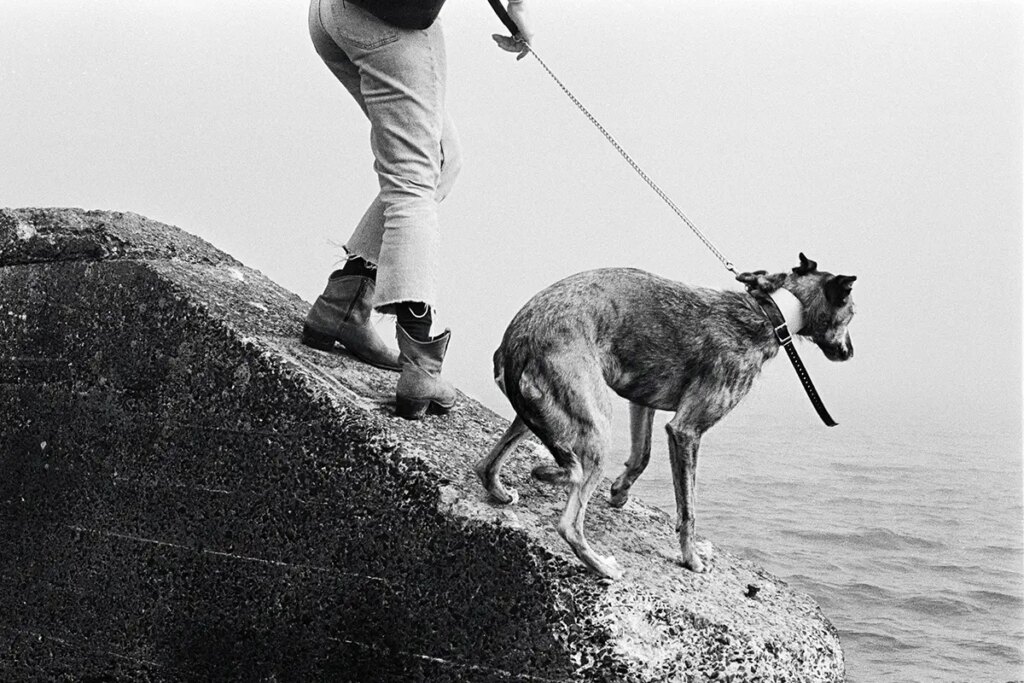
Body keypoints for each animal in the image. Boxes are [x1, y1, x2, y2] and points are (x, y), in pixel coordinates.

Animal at [473, 253, 856, 581]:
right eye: (851, 313)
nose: (849, 353)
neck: (771, 312)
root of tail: (518, 338)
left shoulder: (643, 400)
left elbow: (641, 456)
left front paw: (619, 492)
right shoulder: (687, 430)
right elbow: (688, 509)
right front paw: (691, 559)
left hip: (539, 414)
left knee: (487, 465)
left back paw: (508, 489)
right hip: (595, 427)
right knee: (569, 520)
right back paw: (601, 564)